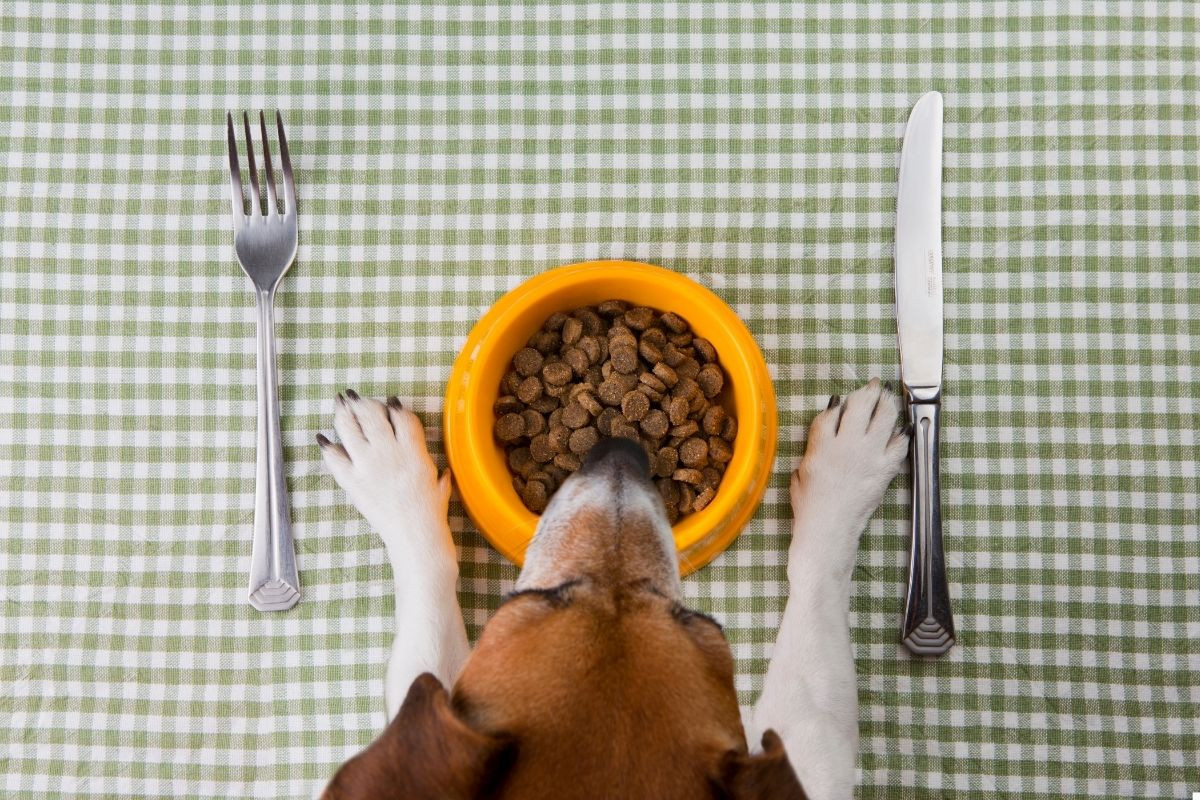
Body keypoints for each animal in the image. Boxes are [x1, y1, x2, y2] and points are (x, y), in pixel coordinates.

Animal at [314, 379, 902, 796]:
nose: (619, 448)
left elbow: (816, 581)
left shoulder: (814, 756)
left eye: (692, 618)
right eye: (545, 595)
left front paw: (848, 468)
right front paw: (390, 471)